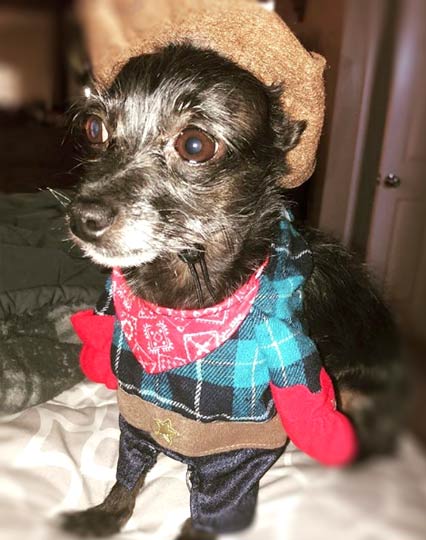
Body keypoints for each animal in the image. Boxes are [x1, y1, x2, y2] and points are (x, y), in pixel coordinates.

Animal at [61, 43, 404, 540]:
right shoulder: (139, 413)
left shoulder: (246, 445)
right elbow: (128, 473)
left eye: (195, 145)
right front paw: (105, 514)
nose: (81, 217)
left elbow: (217, 506)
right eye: (94, 128)